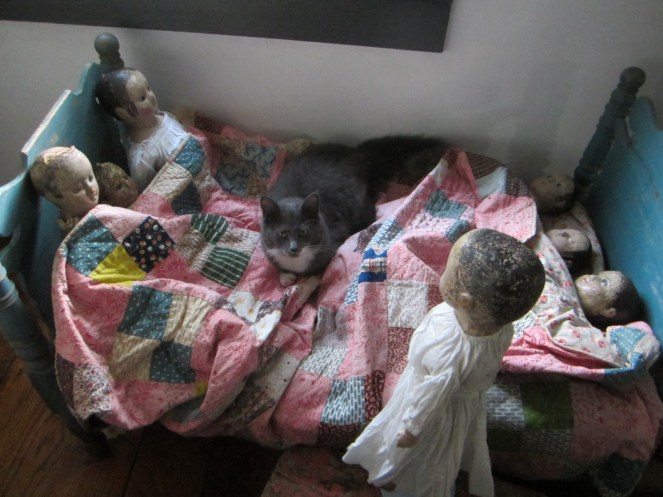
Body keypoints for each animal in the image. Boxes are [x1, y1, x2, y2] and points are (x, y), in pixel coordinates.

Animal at [260, 136, 448, 285]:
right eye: (282, 234)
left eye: (303, 232)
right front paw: (285, 276)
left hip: (359, 205)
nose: (293, 248)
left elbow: (317, 272)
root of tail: (357, 153)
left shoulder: (334, 235)